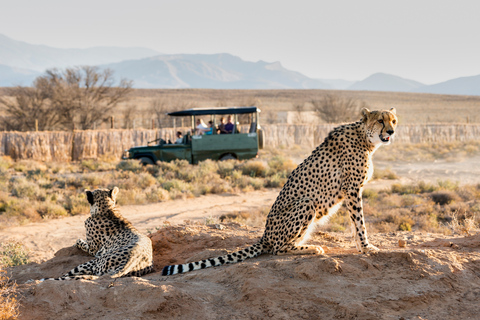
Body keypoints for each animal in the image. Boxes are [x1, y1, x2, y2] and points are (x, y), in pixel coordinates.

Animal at [162, 107, 398, 276]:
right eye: (380, 120)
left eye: (393, 120)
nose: (391, 132)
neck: (365, 139)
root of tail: (265, 234)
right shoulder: (352, 189)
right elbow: (359, 223)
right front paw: (366, 247)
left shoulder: (352, 191)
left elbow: (355, 223)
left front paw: (362, 247)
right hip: (306, 203)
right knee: (278, 248)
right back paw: (311, 248)